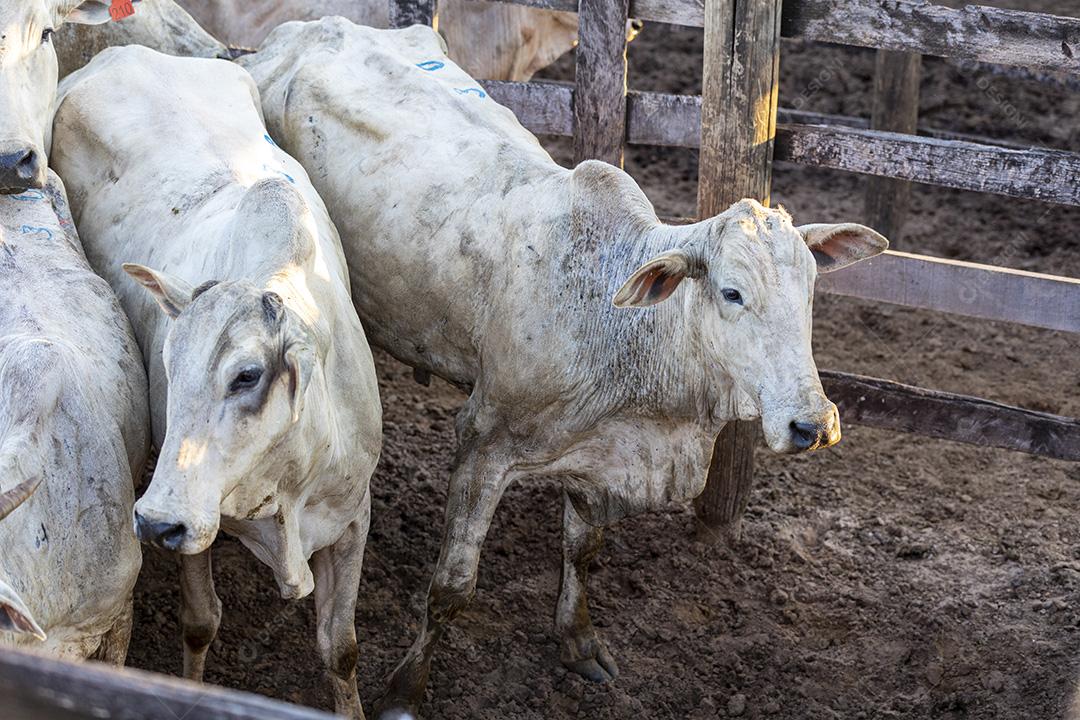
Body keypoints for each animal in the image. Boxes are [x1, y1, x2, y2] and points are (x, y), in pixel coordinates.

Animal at [52, 46, 382, 718]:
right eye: (167, 366)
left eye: (247, 375)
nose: (155, 523)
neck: (289, 477)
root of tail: (124, 51)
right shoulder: (196, 526)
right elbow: (200, 623)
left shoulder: (354, 519)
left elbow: (341, 648)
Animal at [240, 18, 889, 717]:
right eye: (732, 292)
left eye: (811, 288)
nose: (813, 424)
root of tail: (296, 31)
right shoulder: (484, 445)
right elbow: (452, 588)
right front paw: (406, 691)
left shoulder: (597, 454)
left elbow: (584, 548)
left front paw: (577, 643)